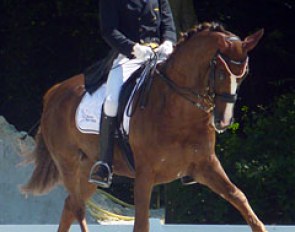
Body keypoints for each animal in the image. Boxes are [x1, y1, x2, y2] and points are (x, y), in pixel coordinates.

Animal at [21, 24, 266, 232]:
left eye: (244, 75)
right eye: (222, 73)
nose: (224, 122)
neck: (178, 112)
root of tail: (55, 91)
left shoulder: (205, 166)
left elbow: (240, 198)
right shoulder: (145, 174)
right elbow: (141, 224)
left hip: (89, 169)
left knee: (71, 205)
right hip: (68, 163)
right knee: (78, 207)